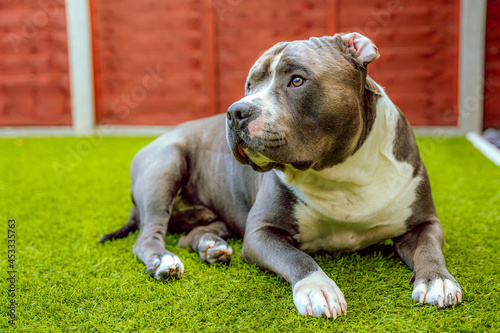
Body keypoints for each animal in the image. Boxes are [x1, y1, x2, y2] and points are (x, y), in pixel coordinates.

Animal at [100, 33, 460, 316]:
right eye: (249, 85)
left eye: (297, 80)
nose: (236, 111)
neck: (340, 174)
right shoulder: (260, 233)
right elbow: (297, 257)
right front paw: (318, 288)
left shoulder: (423, 221)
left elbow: (429, 248)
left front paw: (438, 281)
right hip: (164, 167)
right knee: (148, 237)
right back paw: (163, 260)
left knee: (193, 233)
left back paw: (211, 246)